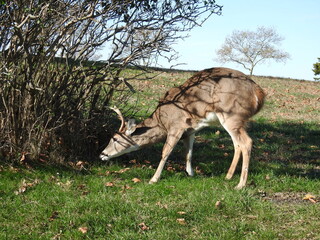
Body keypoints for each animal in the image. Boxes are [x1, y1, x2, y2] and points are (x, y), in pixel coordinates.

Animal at [100, 67, 264, 189]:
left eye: (114, 138)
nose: (102, 154)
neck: (162, 121)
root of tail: (258, 93)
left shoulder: (176, 126)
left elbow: (165, 151)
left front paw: (154, 179)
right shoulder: (191, 129)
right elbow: (188, 152)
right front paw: (190, 173)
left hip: (232, 116)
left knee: (246, 142)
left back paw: (240, 185)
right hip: (237, 121)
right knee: (237, 144)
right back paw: (228, 176)